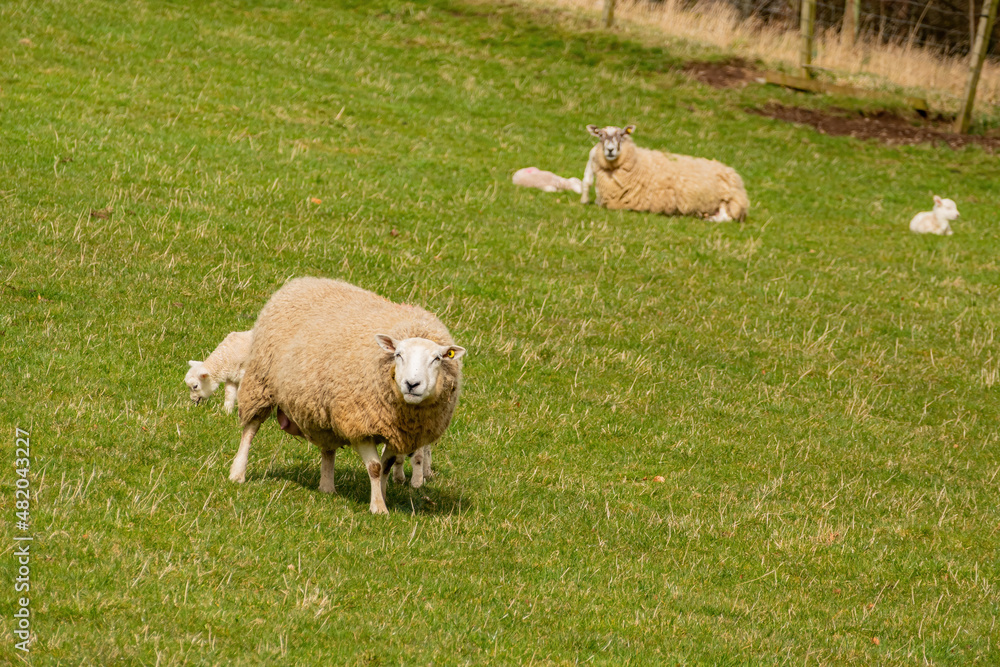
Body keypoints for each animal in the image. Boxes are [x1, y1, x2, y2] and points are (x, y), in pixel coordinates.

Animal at [230, 278, 465, 514]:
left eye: (437, 358)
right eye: (398, 355)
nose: (412, 384)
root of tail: (302, 280)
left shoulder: (395, 432)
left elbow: (386, 467)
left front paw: (382, 497)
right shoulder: (359, 423)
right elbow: (375, 467)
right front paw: (378, 508)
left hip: (323, 408)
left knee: (327, 447)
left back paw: (327, 487)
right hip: (261, 382)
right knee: (250, 429)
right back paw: (237, 473)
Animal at [580, 124, 749, 222]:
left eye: (622, 135)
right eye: (600, 135)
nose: (610, 150)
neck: (637, 163)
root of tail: (733, 174)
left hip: (726, 199)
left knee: (726, 217)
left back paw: (710, 218)